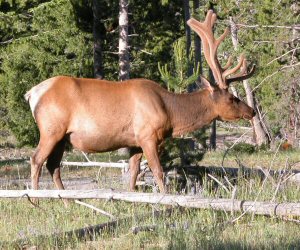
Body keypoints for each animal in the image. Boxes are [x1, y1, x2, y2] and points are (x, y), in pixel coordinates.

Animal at [25, 10, 255, 195]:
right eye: (232, 98)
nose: (251, 111)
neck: (172, 115)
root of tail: (32, 93)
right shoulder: (148, 135)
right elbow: (159, 172)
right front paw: (166, 199)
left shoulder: (134, 142)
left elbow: (134, 174)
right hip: (51, 129)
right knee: (36, 159)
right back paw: (36, 201)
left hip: (63, 138)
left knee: (53, 166)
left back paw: (64, 200)